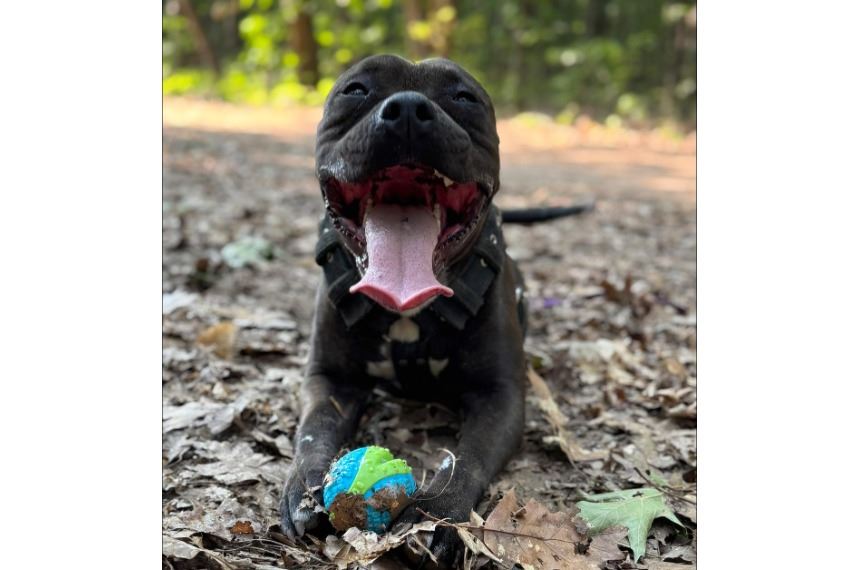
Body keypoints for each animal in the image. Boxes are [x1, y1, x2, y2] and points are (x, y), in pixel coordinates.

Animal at [280, 54, 588, 567]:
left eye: (464, 98)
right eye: (355, 90)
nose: (407, 108)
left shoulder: (500, 396)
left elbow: (465, 456)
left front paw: (436, 512)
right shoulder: (330, 379)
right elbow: (314, 429)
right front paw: (304, 486)